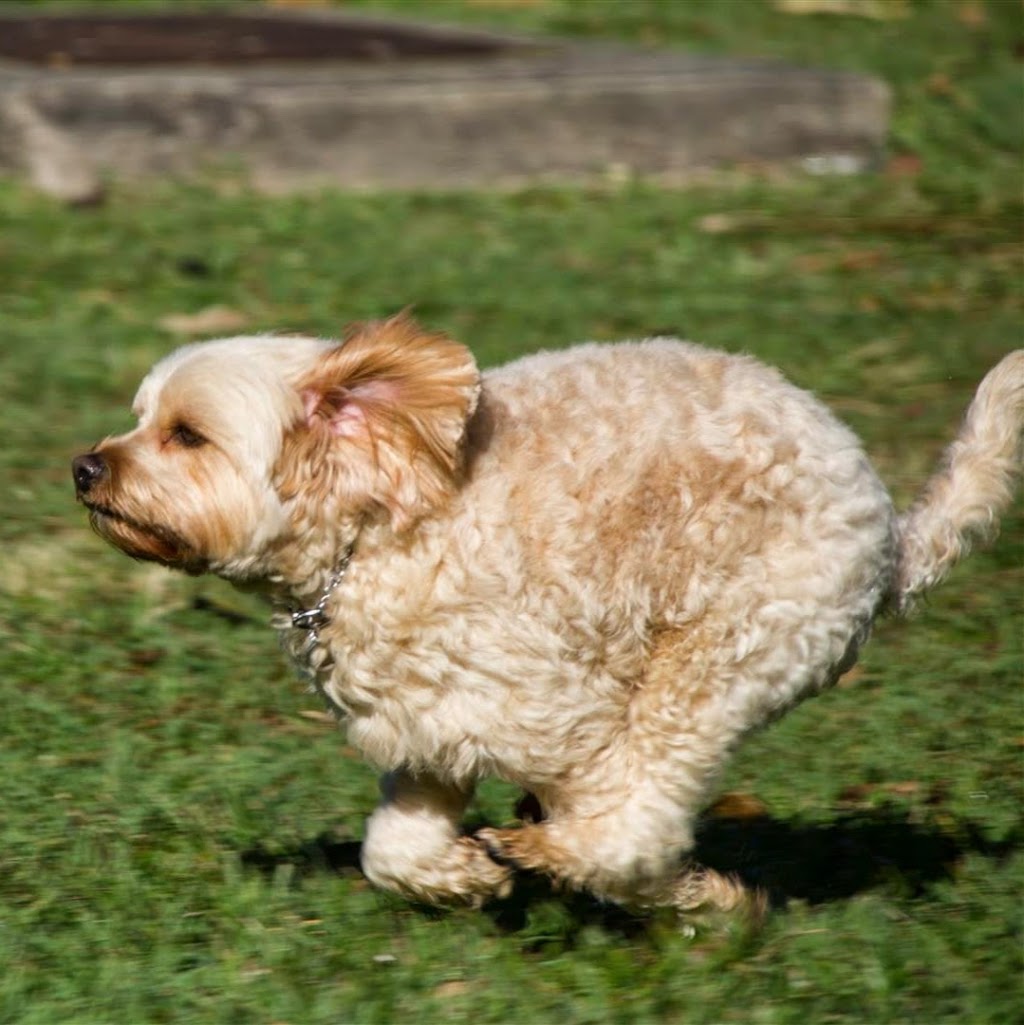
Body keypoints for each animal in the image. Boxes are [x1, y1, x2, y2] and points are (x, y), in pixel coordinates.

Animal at [74, 317, 1024, 914]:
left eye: (186, 435)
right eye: (140, 419)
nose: (85, 467)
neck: (382, 528)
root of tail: (892, 531)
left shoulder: (571, 718)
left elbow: (630, 838)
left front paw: (700, 900)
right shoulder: (430, 732)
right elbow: (393, 851)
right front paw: (461, 880)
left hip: (718, 657)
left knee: (647, 793)